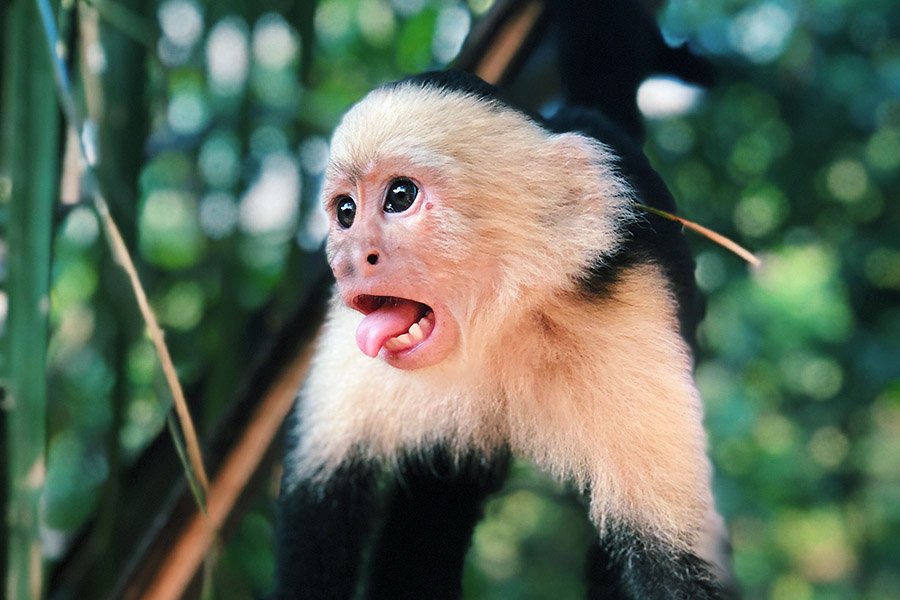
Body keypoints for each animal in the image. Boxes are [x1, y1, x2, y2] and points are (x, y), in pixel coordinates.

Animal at [272, 67, 732, 600]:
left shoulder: (628, 315)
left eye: (400, 197)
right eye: (345, 211)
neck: (497, 324)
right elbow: (320, 499)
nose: (348, 261)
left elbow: (666, 559)